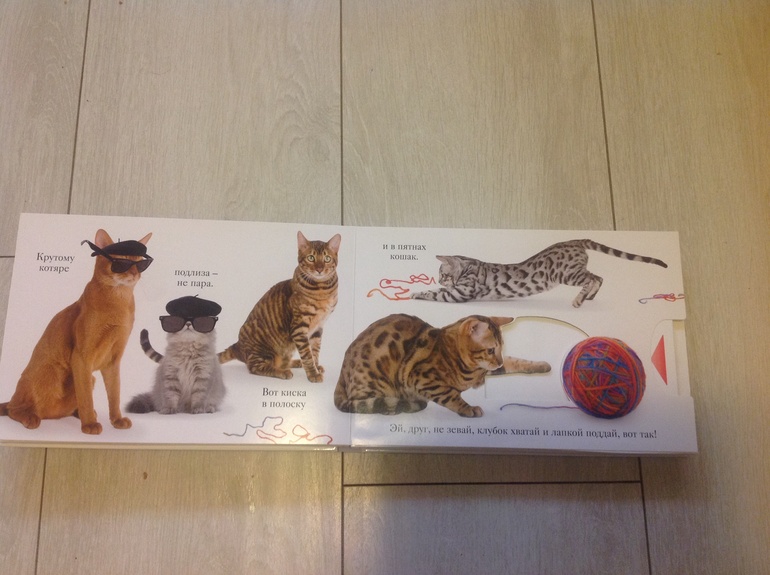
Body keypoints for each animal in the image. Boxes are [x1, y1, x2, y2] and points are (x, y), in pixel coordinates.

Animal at [0, 229, 152, 434]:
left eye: (140, 263)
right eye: (122, 263)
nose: (135, 273)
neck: (118, 302)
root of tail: (50, 416)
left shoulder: (113, 361)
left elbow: (115, 394)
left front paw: (116, 419)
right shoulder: (81, 358)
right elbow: (86, 396)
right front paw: (89, 425)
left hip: (89, 378)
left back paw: (78, 413)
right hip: (50, 374)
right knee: (12, 408)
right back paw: (31, 418)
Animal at [218, 231, 341, 382]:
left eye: (327, 258)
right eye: (311, 258)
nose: (320, 269)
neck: (322, 289)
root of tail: (237, 346)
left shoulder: (318, 327)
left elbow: (314, 351)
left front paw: (316, 367)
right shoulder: (299, 326)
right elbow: (307, 354)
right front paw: (313, 373)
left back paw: (295, 363)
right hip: (263, 348)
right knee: (255, 367)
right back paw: (283, 372)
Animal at [334, 314, 550, 417]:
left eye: (500, 349)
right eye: (490, 350)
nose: (498, 360)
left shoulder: (488, 369)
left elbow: (516, 361)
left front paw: (543, 365)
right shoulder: (421, 378)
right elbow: (451, 395)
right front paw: (468, 409)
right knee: (359, 403)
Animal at [411, 239, 668, 308]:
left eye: (443, 274)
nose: (440, 278)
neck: (470, 265)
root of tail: (575, 240)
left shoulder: (460, 292)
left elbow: (434, 293)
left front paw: (415, 293)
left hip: (567, 274)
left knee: (593, 278)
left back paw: (579, 300)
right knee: (600, 277)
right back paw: (590, 297)